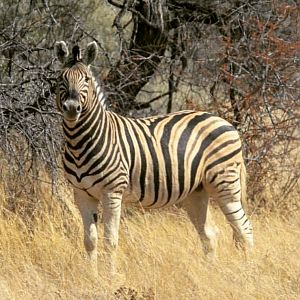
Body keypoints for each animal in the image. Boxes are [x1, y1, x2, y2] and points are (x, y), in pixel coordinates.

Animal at [54, 41, 253, 274]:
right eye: (61, 79)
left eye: (86, 79)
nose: (71, 108)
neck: (80, 142)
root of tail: (224, 121)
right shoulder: (81, 194)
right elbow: (90, 241)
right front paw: (92, 276)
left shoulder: (112, 192)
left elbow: (110, 240)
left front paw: (110, 276)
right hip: (196, 192)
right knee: (210, 235)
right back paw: (209, 273)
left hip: (225, 183)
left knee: (244, 230)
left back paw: (247, 271)